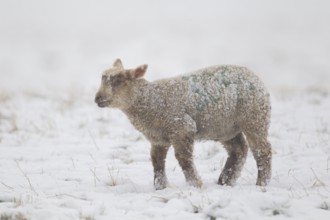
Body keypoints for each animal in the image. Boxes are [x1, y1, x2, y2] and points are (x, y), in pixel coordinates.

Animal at [94, 58, 272, 189]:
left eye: (118, 81)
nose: (97, 98)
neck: (150, 100)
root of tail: (255, 76)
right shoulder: (158, 138)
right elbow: (157, 161)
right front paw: (160, 187)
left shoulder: (181, 127)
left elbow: (183, 158)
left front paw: (195, 184)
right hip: (226, 127)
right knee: (239, 150)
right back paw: (225, 181)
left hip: (254, 116)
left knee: (263, 150)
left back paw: (261, 183)